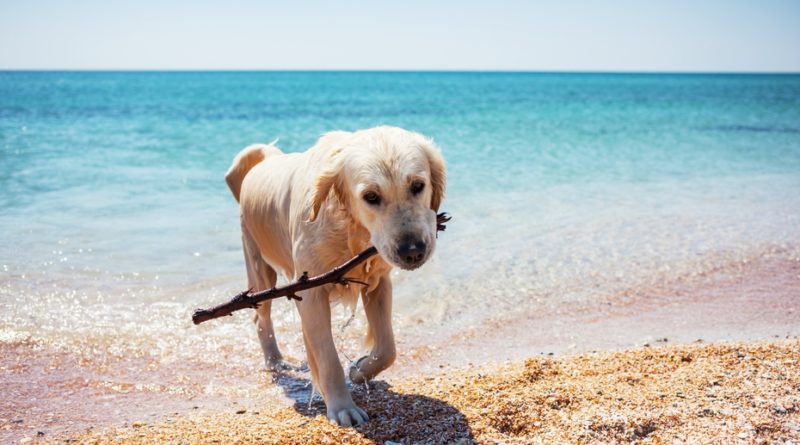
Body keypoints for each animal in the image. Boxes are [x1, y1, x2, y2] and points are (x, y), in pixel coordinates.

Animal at [225, 126, 446, 424]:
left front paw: (361, 370)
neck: (350, 227)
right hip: (259, 267)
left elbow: (388, 348)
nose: (412, 252)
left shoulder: (378, 283)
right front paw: (343, 408)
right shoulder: (311, 292)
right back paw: (276, 362)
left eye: (417, 186)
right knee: (261, 319)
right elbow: (328, 358)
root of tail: (267, 159)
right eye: (371, 197)